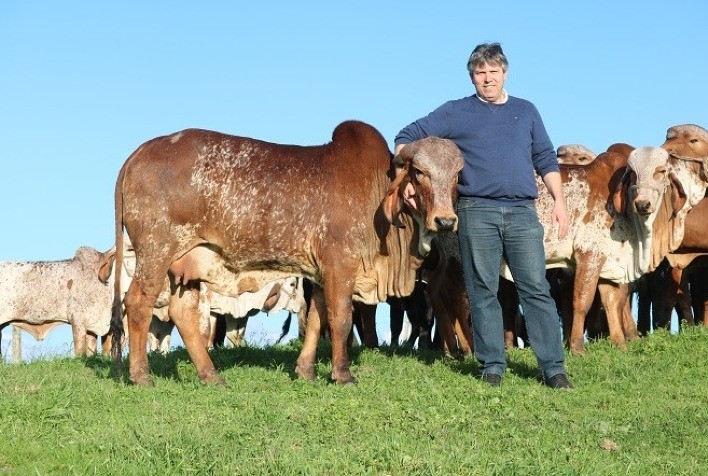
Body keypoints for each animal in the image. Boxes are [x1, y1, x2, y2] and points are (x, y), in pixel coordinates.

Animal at [110, 121, 463, 385]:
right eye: (420, 172)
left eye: (457, 174)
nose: (445, 221)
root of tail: (140, 152)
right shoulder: (340, 266)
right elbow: (341, 320)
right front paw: (343, 374)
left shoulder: (319, 274)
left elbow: (318, 319)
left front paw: (305, 371)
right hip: (156, 252)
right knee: (137, 303)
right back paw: (141, 376)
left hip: (188, 264)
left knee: (182, 312)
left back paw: (211, 376)